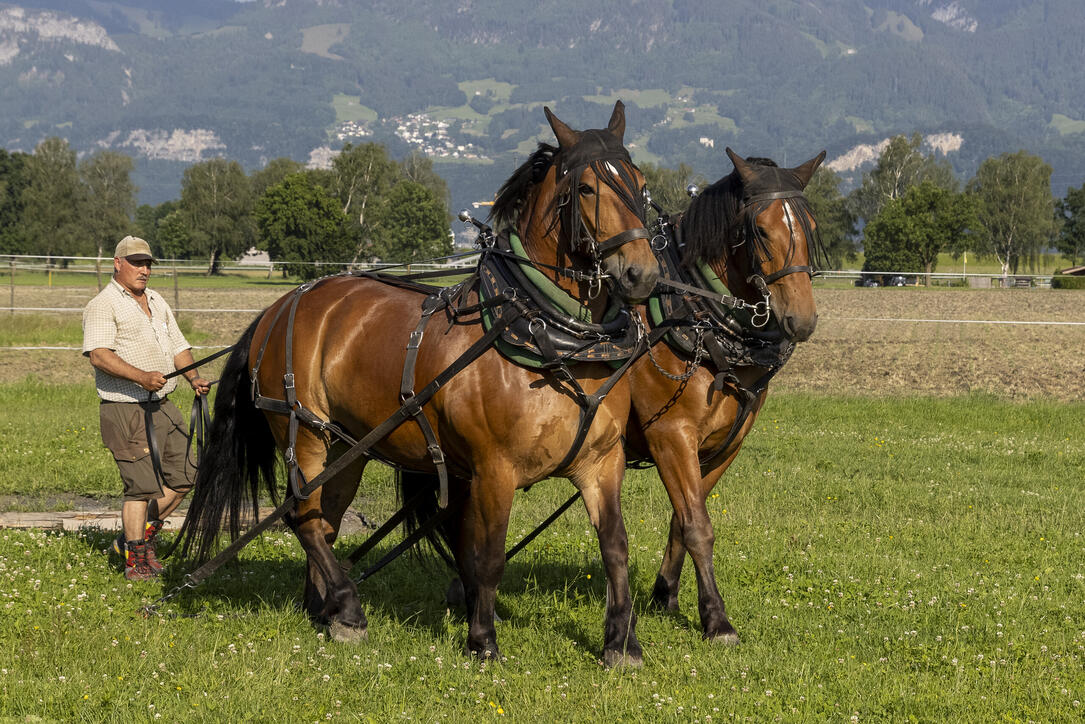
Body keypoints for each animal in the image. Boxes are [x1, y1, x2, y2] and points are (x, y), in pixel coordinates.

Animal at [175, 102, 659, 668]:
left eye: (640, 183)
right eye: (585, 188)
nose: (641, 273)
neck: (547, 334)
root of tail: (280, 305)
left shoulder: (602, 463)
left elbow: (615, 548)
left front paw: (622, 642)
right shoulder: (495, 470)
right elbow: (488, 556)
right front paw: (483, 640)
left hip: (347, 449)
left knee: (324, 520)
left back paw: (325, 609)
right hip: (305, 430)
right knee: (303, 518)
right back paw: (349, 609)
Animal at [629, 145, 820, 638]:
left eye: (811, 227)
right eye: (760, 230)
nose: (802, 319)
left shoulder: (723, 446)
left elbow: (681, 520)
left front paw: (666, 595)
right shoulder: (670, 437)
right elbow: (699, 526)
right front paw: (716, 618)